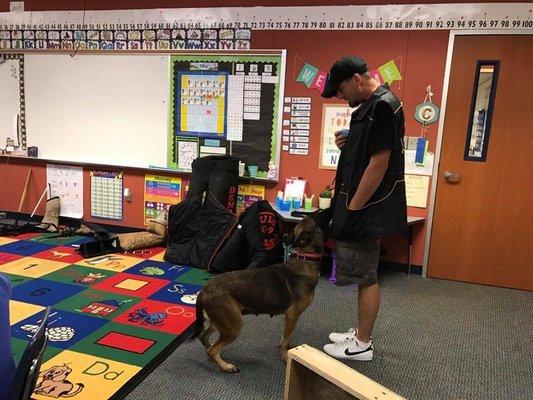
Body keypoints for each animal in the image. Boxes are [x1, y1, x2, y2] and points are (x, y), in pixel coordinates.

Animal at [194, 216, 322, 372]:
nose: (312, 214)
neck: (304, 257)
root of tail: (204, 291)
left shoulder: (289, 318)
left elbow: (286, 337)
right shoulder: (293, 315)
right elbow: (286, 339)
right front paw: (285, 357)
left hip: (219, 321)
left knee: (205, 339)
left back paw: (216, 357)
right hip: (233, 326)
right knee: (212, 350)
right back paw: (226, 366)